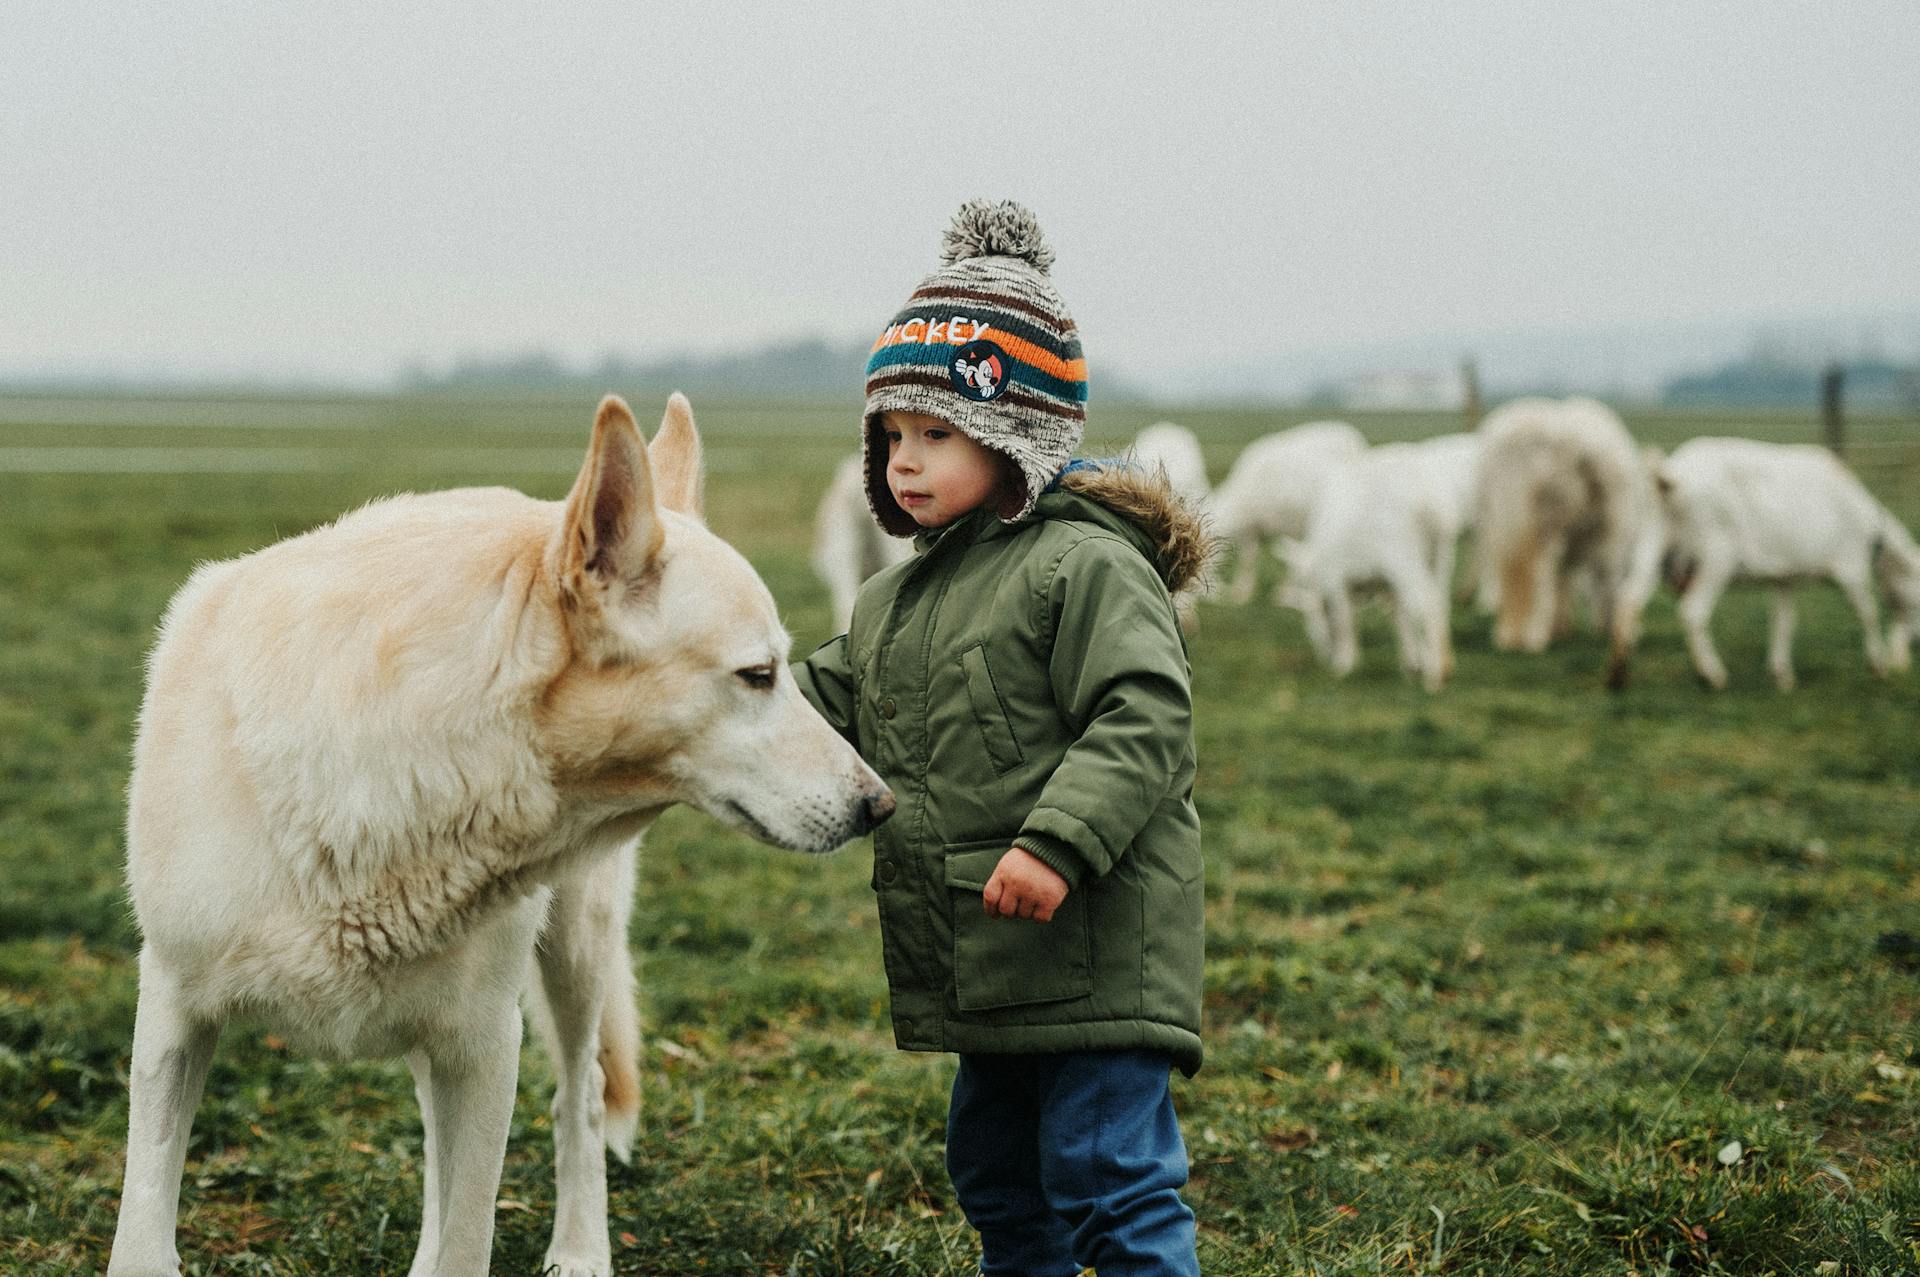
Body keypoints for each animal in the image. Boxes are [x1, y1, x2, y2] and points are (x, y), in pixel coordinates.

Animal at [116, 395, 894, 1275]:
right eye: (758, 676)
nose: (880, 804)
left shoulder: (487, 1043)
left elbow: (470, 1232)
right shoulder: (172, 1014)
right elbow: (142, 1229)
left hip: (572, 955)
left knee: (578, 1100)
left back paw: (581, 1249)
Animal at [1466, 395, 1666, 687]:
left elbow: (1565, 579)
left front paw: (1562, 627)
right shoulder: (1612, 540)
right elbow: (1606, 580)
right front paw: (1606, 626)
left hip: (1505, 519)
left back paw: (1516, 635)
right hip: (1548, 527)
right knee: (1542, 572)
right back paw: (1531, 638)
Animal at [1651, 441, 1920, 698]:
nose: (1914, 642)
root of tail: (1673, 475)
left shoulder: (1784, 577)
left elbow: (1784, 621)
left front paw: (1782, 676)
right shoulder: (1851, 568)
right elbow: (1868, 613)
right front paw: (1878, 666)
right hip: (1715, 557)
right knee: (1693, 612)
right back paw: (1711, 674)